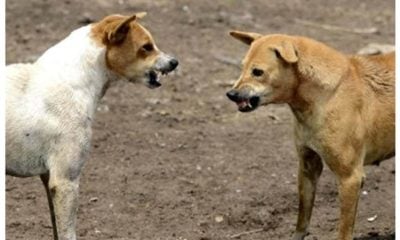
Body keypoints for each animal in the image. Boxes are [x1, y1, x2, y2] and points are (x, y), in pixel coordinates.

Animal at [227, 31, 396, 239]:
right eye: (242, 67)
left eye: (257, 72)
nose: (231, 94)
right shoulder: (308, 167)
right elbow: (302, 219)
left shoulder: (350, 177)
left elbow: (344, 231)